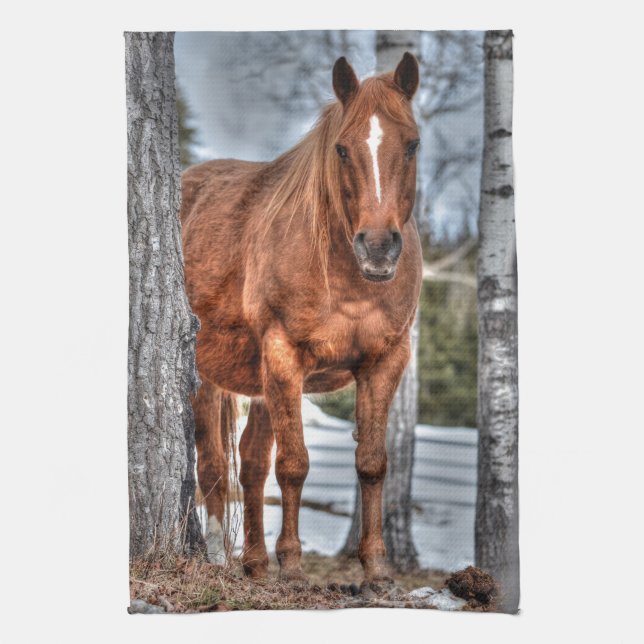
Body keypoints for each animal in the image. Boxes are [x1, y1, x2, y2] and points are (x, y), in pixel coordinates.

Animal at [180, 52, 423, 585]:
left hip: (258, 382)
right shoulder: (284, 355)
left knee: (249, 462)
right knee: (212, 466)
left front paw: (376, 565)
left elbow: (372, 462)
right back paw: (218, 557)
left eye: (413, 144)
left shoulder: (385, 361)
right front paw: (291, 563)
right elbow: (293, 463)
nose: (378, 247)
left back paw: (253, 561)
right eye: (342, 150)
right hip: (209, 378)